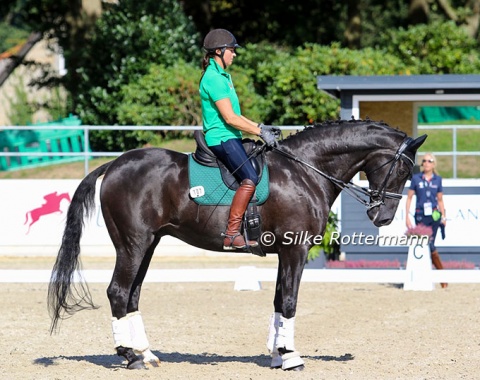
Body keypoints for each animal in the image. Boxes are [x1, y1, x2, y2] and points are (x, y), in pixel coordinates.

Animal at [47, 119, 426, 372]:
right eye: (403, 171)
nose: (382, 216)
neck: (306, 171)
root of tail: (115, 163)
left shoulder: (285, 252)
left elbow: (278, 301)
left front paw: (277, 353)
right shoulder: (296, 250)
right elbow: (290, 301)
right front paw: (292, 357)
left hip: (149, 244)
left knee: (132, 295)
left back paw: (146, 354)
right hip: (133, 244)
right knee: (117, 292)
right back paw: (128, 356)